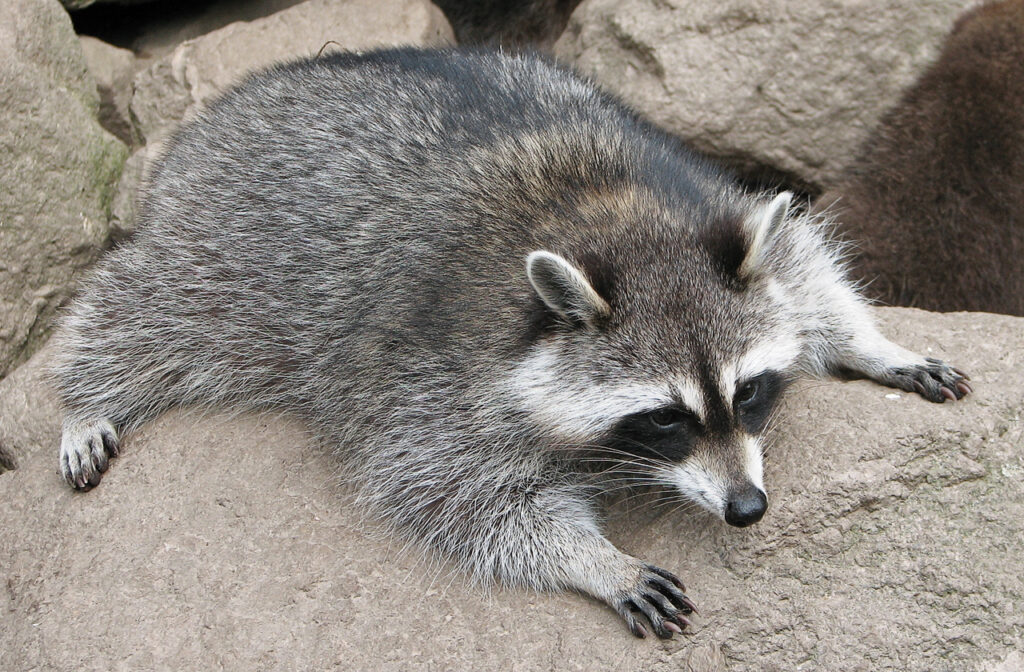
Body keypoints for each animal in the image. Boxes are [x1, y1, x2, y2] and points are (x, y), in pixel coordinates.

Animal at [51, 45, 970, 635]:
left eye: (749, 392)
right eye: (665, 418)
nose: (747, 509)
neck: (615, 219)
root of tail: (217, 117)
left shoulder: (712, 203)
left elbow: (809, 275)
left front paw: (872, 343)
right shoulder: (431, 373)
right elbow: (454, 490)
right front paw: (593, 559)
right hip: (232, 250)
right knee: (150, 306)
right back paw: (83, 393)